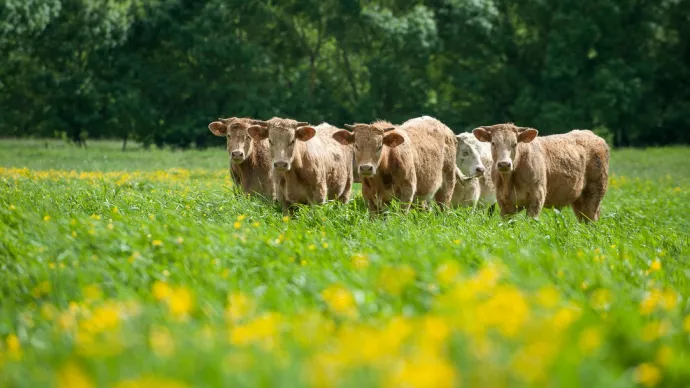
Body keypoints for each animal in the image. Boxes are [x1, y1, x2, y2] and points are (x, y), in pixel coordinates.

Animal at [472, 124, 608, 221]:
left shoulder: (537, 198)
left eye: (514, 144)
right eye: (493, 143)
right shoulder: (503, 203)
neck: (509, 181)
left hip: (594, 194)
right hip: (578, 200)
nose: (504, 164)